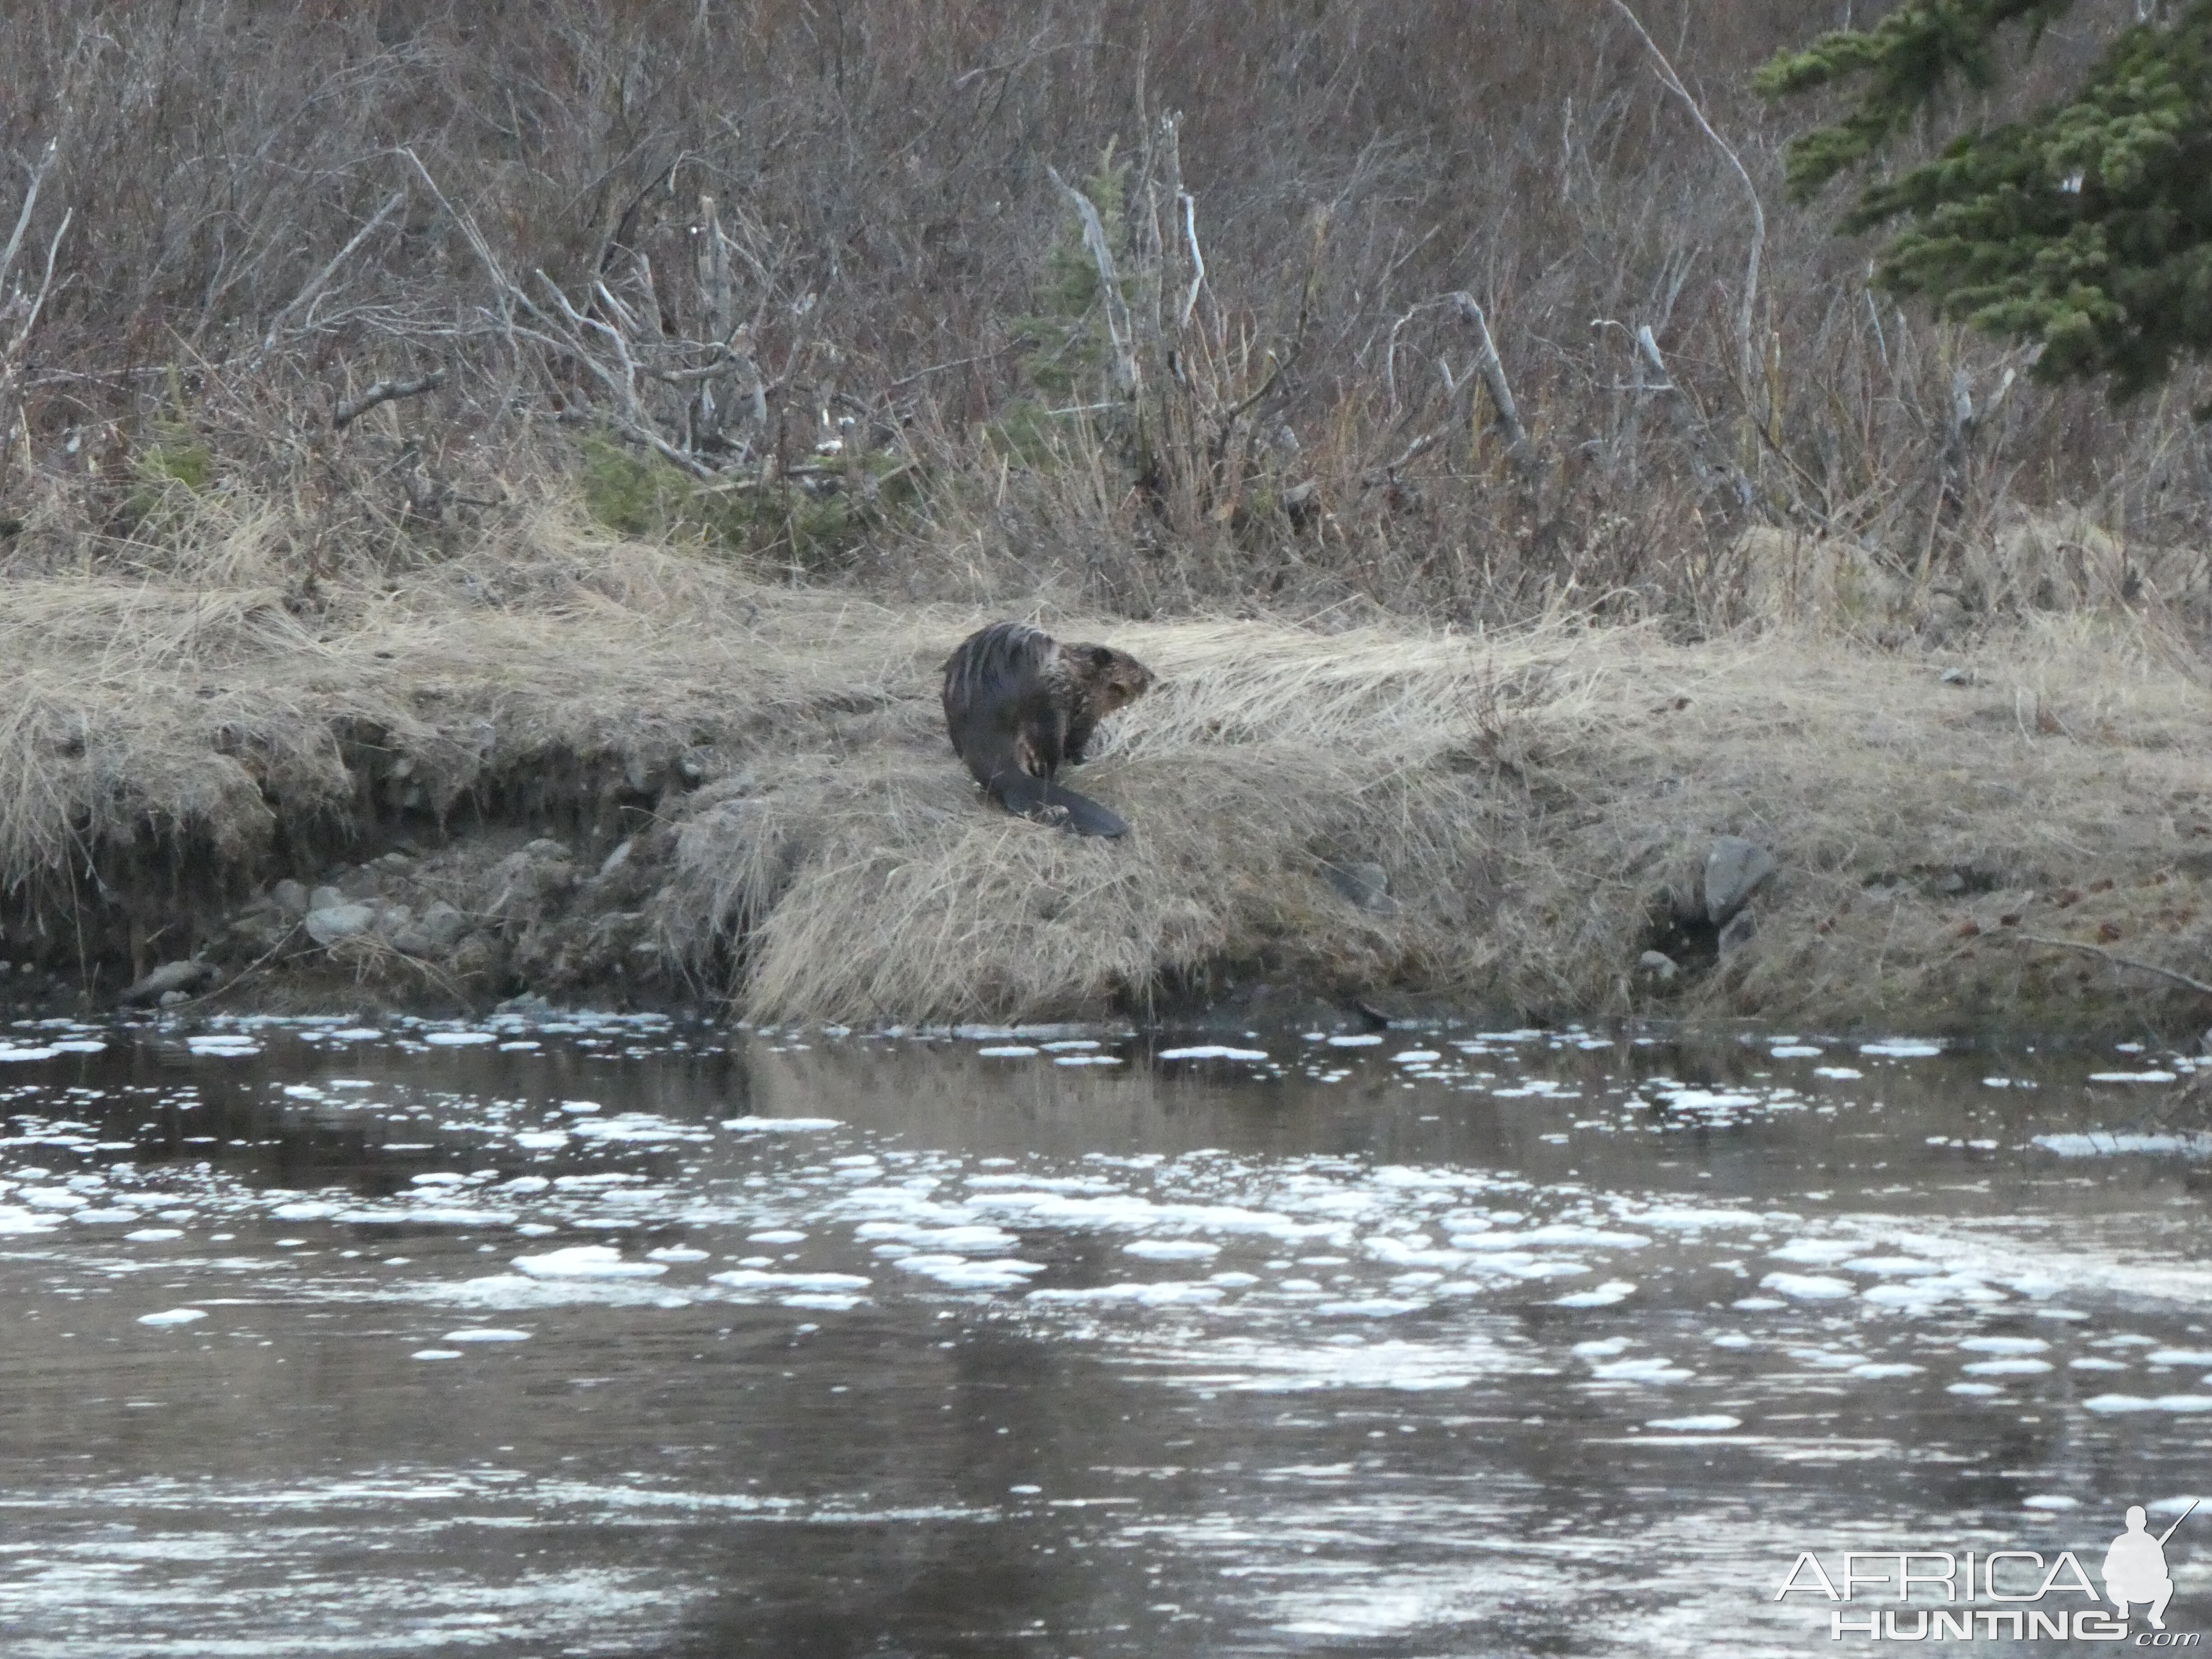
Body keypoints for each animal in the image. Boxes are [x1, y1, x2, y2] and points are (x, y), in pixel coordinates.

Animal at [942, 623, 1159, 836]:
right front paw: (1085, 759)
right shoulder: (1084, 708)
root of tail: (1003, 772)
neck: (1078, 669)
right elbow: (1077, 740)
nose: (1153, 676)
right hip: (1049, 718)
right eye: (1133, 663)